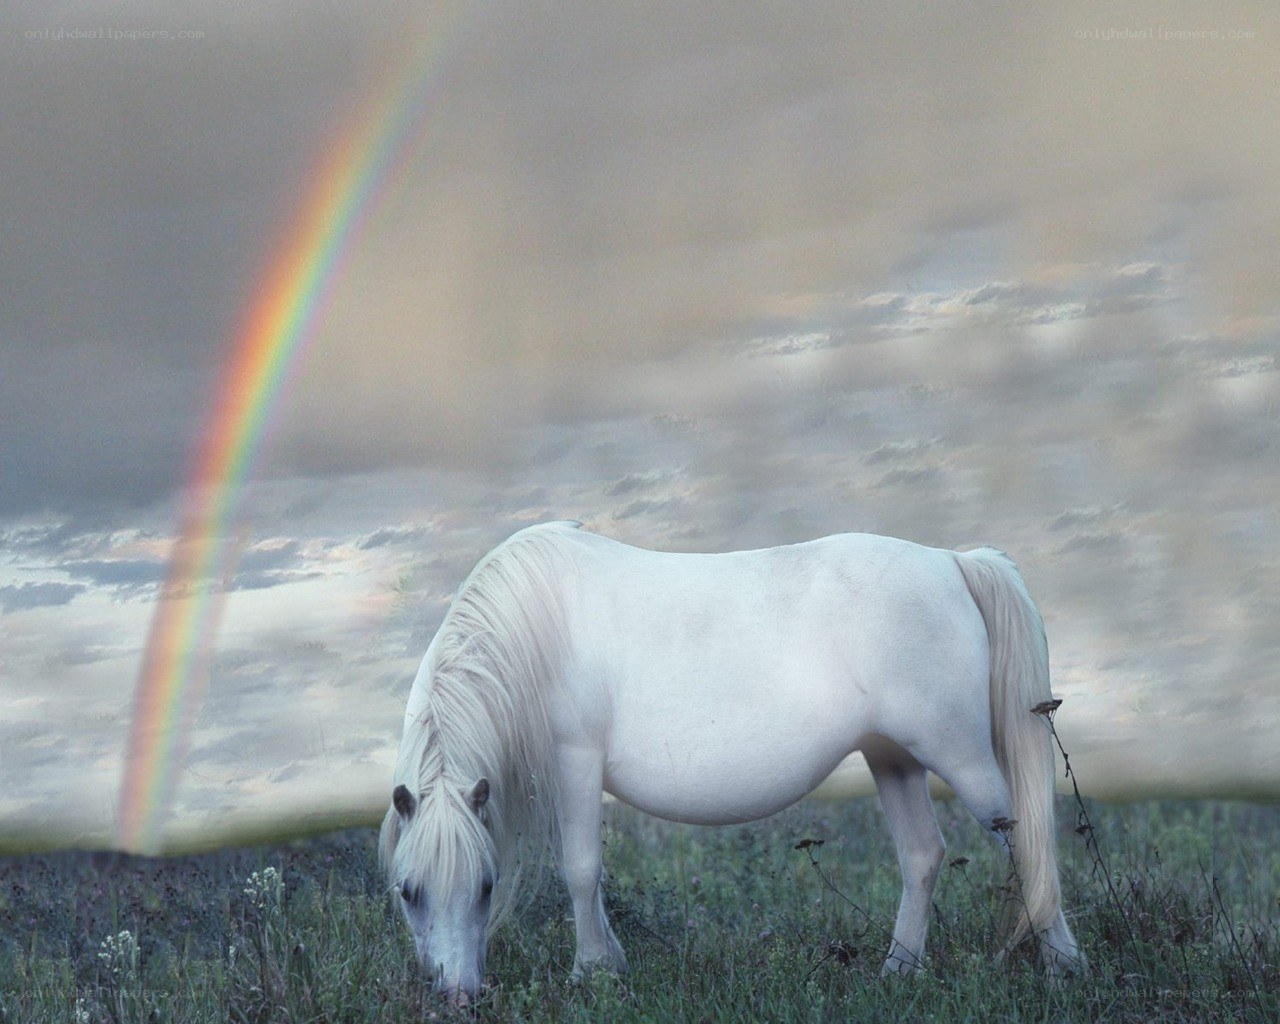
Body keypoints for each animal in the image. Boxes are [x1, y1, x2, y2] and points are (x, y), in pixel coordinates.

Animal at [379, 521, 1082, 1000]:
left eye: (486, 886)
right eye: (408, 892)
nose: (458, 998)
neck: (533, 626)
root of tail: (954, 563)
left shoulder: (575, 760)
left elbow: (579, 870)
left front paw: (592, 972)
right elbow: (585, 874)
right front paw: (610, 962)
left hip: (956, 752)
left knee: (1024, 837)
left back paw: (1063, 965)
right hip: (892, 758)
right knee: (923, 855)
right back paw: (897, 970)